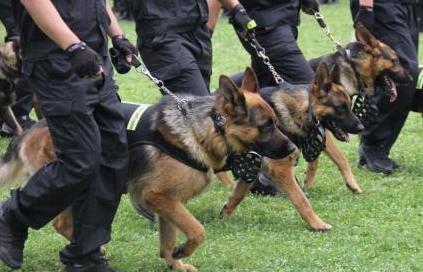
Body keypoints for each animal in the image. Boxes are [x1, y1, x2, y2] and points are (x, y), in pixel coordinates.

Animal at [0, 67, 294, 270]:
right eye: (266, 126)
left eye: (275, 122)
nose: (292, 149)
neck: (206, 129)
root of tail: (32, 129)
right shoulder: (159, 196)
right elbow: (197, 230)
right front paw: (183, 251)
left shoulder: (168, 202)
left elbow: (167, 242)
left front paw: (175, 263)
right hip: (75, 181)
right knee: (58, 218)